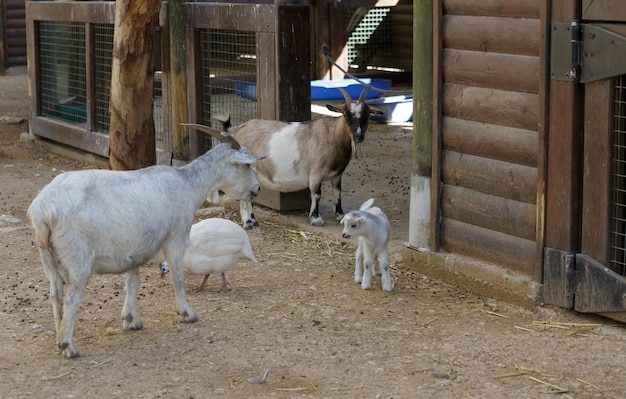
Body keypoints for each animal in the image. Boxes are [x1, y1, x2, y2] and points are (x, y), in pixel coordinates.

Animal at [26, 129, 260, 360]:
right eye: (247, 165)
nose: (257, 189)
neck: (188, 183)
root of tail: (43, 210)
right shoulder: (176, 239)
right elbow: (178, 279)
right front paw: (187, 313)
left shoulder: (134, 248)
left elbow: (133, 283)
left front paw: (131, 320)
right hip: (77, 257)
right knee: (71, 298)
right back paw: (69, 346)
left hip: (48, 256)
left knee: (55, 294)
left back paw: (59, 337)